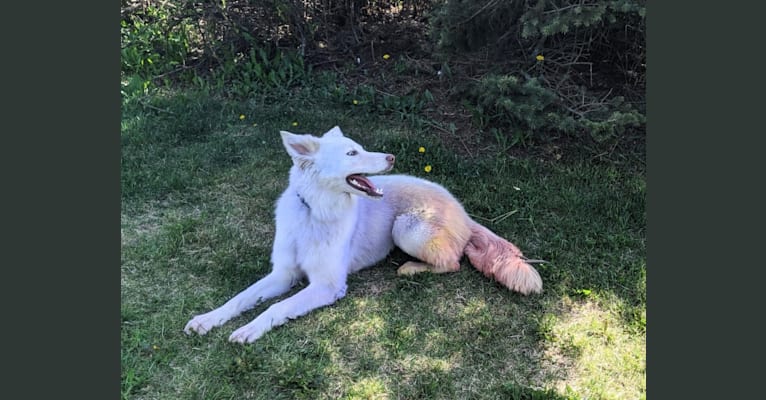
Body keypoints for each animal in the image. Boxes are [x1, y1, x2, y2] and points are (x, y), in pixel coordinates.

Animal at [186, 126, 544, 342]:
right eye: (351, 154)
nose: (392, 157)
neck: (315, 212)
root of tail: (465, 214)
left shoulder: (327, 285)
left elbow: (275, 308)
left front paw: (249, 329)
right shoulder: (283, 274)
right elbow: (241, 298)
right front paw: (208, 319)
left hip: (406, 228)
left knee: (452, 262)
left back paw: (411, 268)